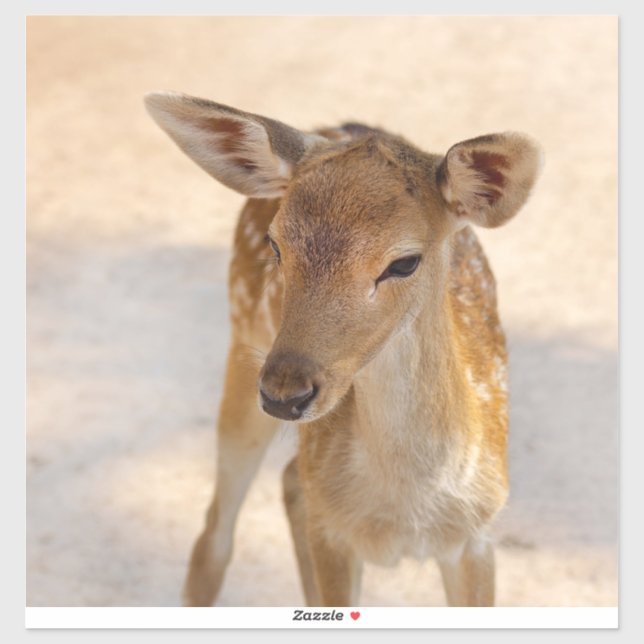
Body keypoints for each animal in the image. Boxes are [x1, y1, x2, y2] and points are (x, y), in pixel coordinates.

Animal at [144, 91, 542, 607]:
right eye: (276, 245)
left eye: (404, 262)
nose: (284, 393)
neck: (404, 511)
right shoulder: (333, 534)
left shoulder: (477, 534)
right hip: (243, 341)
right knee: (215, 534)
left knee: (290, 480)